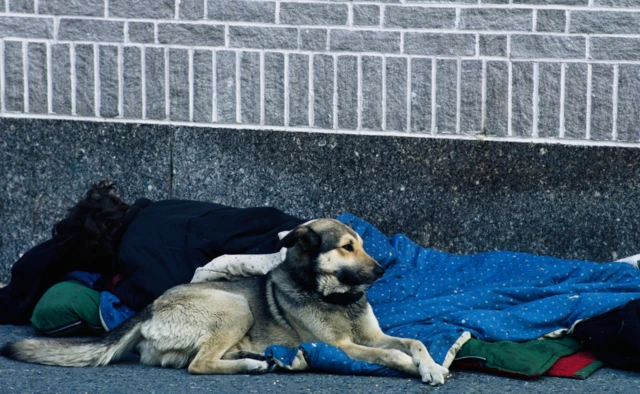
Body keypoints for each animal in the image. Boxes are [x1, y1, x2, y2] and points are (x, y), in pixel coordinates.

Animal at [1, 220, 450, 386]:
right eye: (346, 247)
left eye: (363, 244)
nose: (382, 269)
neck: (334, 297)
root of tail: (149, 309)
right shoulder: (343, 346)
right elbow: (389, 355)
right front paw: (411, 368)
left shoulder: (372, 335)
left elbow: (414, 342)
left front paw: (430, 365)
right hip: (236, 307)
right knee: (199, 365)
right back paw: (255, 364)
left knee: (196, 358)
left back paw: (262, 359)